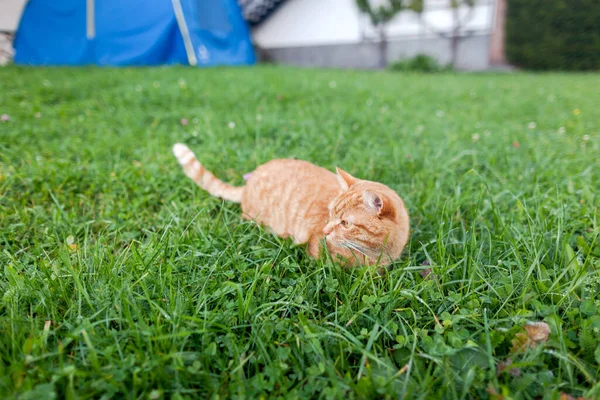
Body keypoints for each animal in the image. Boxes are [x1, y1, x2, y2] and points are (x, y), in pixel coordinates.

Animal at [171, 144, 410, 266]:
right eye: (330, 214)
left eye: (345, 223)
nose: (325, 231)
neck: (373, 254)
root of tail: (250, 180)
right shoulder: (317, 250)